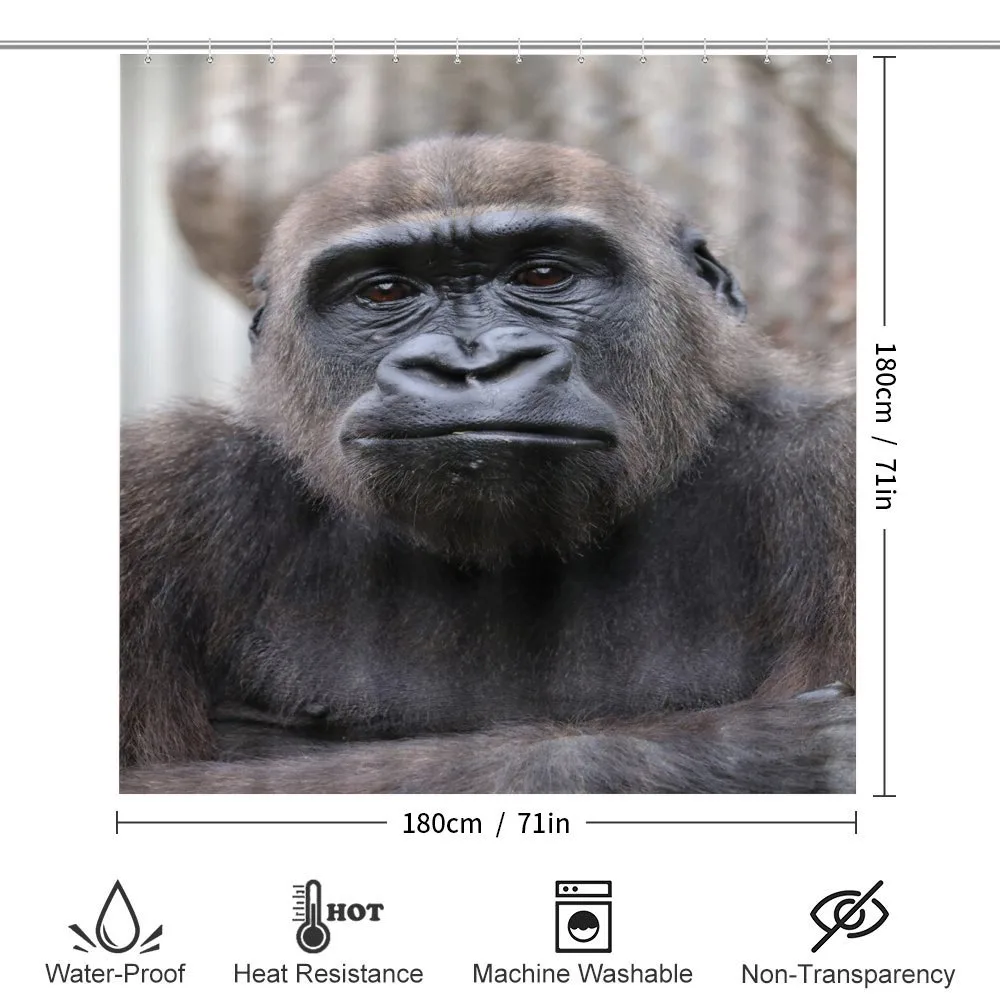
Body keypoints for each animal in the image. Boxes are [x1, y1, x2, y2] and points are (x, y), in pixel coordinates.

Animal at [120, 136, 855, 794]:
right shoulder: (162, 484)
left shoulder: (836, 464)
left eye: (543, 276)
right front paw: (756, 753)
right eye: (385, 292)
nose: (472, 364)